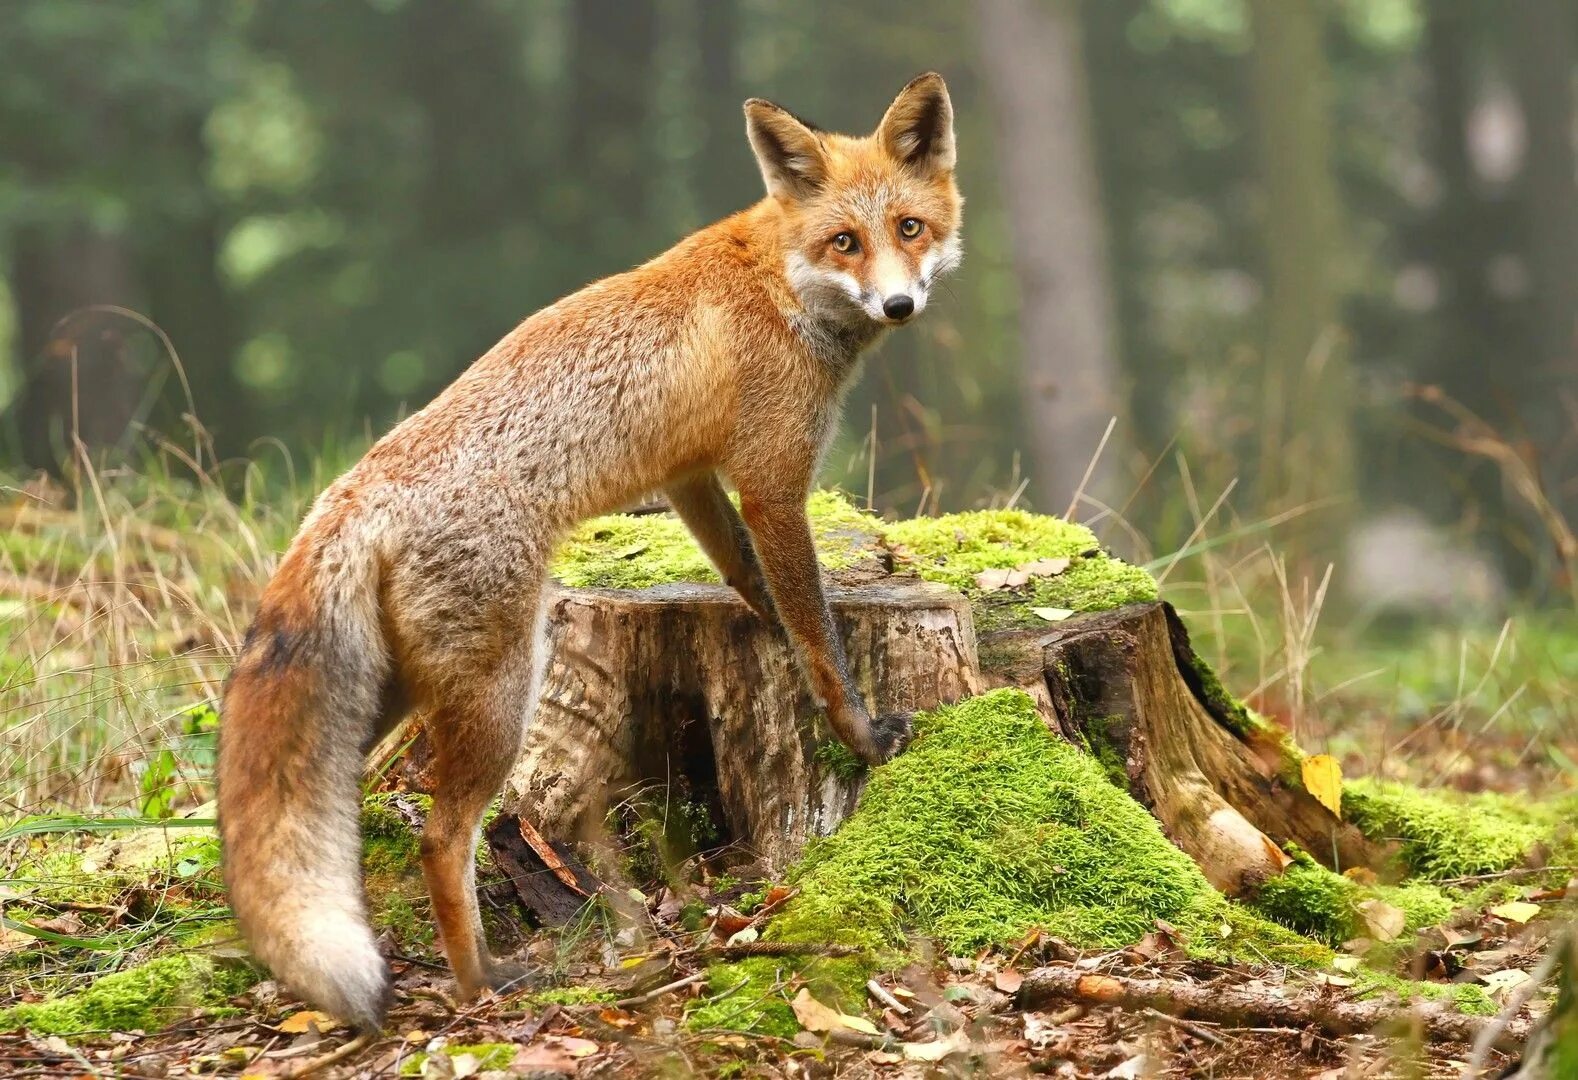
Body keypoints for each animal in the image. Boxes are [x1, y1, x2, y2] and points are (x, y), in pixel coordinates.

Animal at [217, 71, 959, 1035]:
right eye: (846, 241)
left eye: (908, 228)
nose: (899, 304)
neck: (780, 281)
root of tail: (356, 488)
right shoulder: (772, 483)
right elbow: (821, 639)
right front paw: (862, 736)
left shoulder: (690, 478)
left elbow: (752, 583)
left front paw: (773, 631)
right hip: (502, 690)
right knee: (439, 838)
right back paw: (481, 982)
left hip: (388, 696)